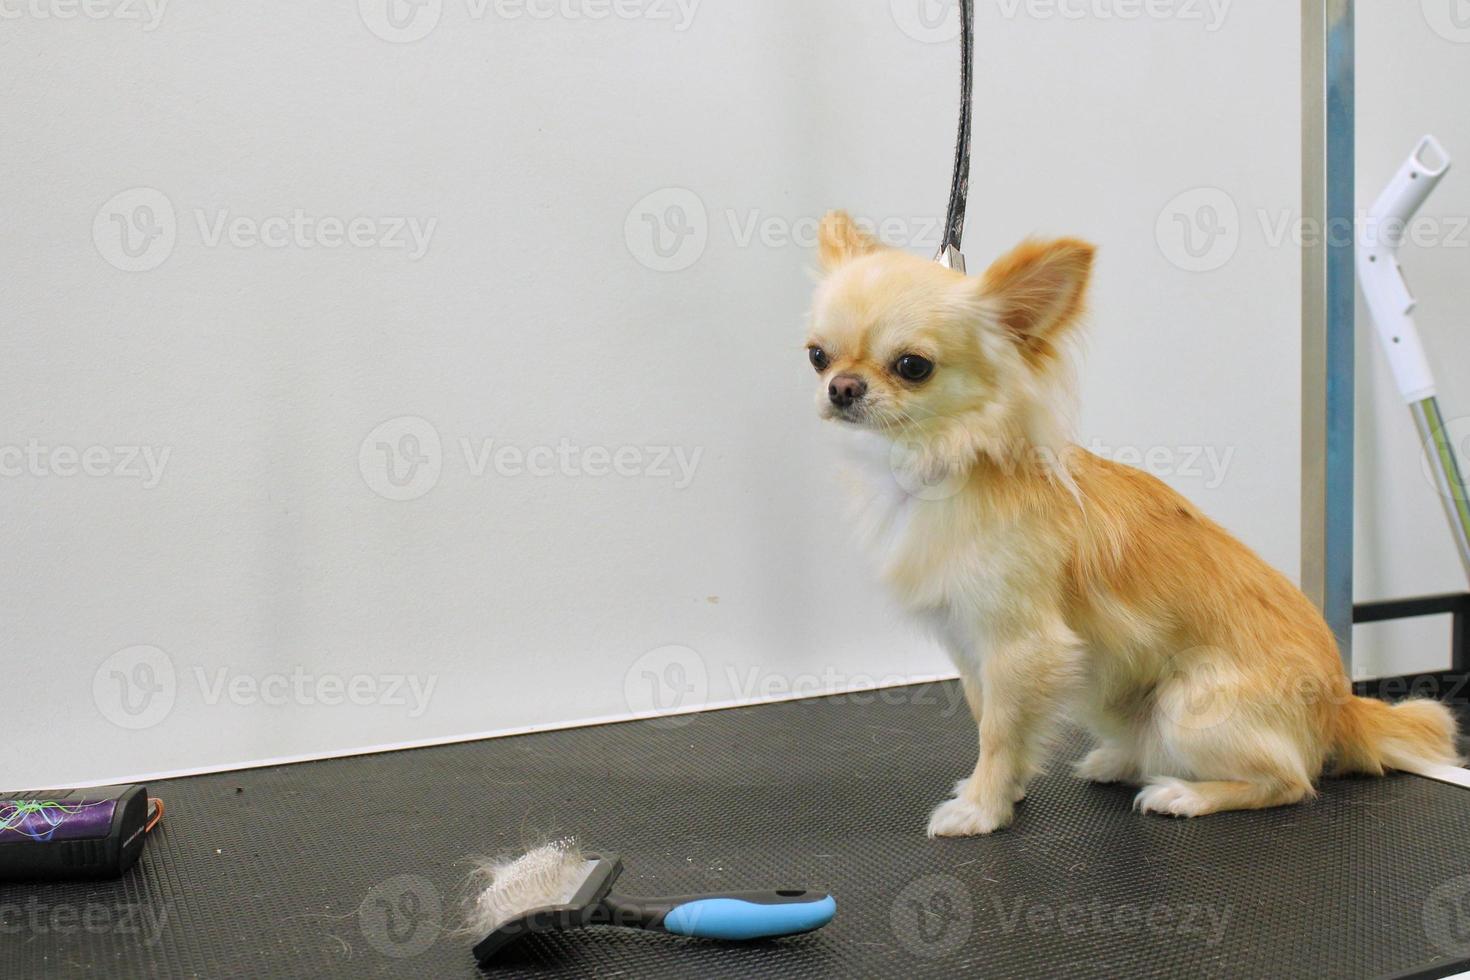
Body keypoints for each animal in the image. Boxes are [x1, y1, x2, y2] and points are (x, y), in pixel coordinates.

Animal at [811, 213, 1464, 834]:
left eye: (912, 366)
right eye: (817, 355)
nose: (841, 387)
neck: (937, 465)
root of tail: (1340, 707)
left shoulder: (1022, 647)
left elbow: (997, 731)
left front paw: (982, 809)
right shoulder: (974, 651)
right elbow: (990, 719)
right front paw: (1006, 788)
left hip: (1189, 707)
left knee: (1291, 781)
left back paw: (1184, 794)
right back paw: (1121, 761)